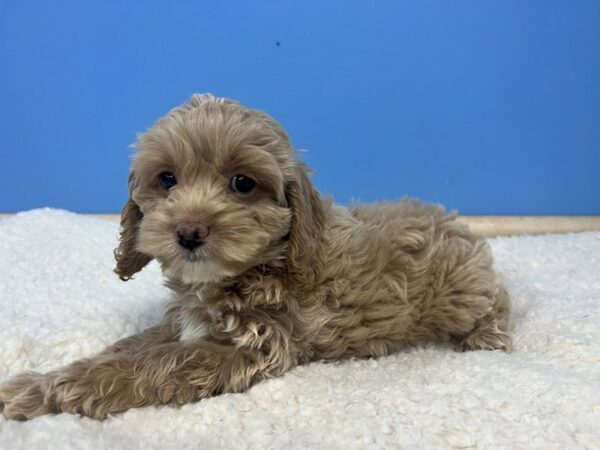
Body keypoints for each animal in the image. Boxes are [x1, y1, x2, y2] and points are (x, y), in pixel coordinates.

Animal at [0, 95, 510, 422]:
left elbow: (162, 361)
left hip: (465, 291)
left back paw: (487, 337)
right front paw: (39, 387)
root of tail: (454, 218)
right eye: (167, 179)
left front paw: (78, 388)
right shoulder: (184, 322)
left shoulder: (260, 344)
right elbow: (132, 346)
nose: (189, 231)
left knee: (497, 299)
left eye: (242, 183)